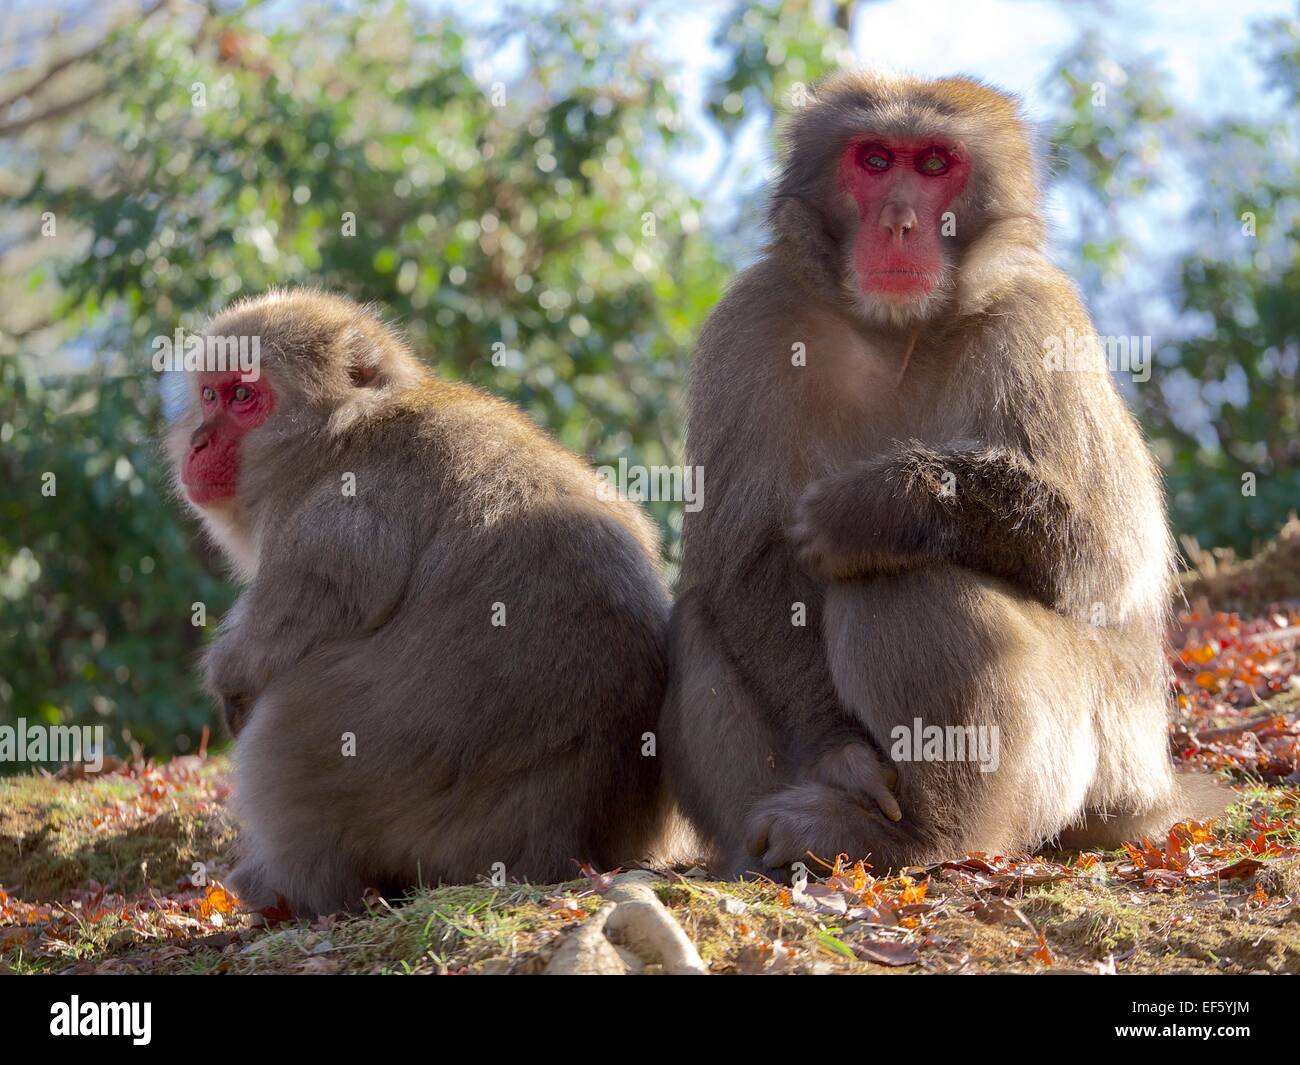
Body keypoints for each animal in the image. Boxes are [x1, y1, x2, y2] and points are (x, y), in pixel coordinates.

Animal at [166, 289, 671, 914]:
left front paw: (229, 677)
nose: (197, 441)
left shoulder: (339, 518)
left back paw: (297, 890)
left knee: (278, 733)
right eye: (209, 394)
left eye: (243, 396)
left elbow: (275, 643)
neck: (344, 434)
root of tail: (568, 843)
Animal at [660, 71, 1227, 880]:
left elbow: (1112, 554)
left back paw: (919, 836)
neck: (897, 330)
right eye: (874, 160)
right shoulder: (751, 322)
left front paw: (881, 504)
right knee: (702, 616)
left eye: (933, 165)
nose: (898, 223)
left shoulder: (1039, 322)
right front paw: (837, 751)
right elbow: (743, 561)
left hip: (1098, 753)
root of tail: (1154, 791)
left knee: (902, 582)